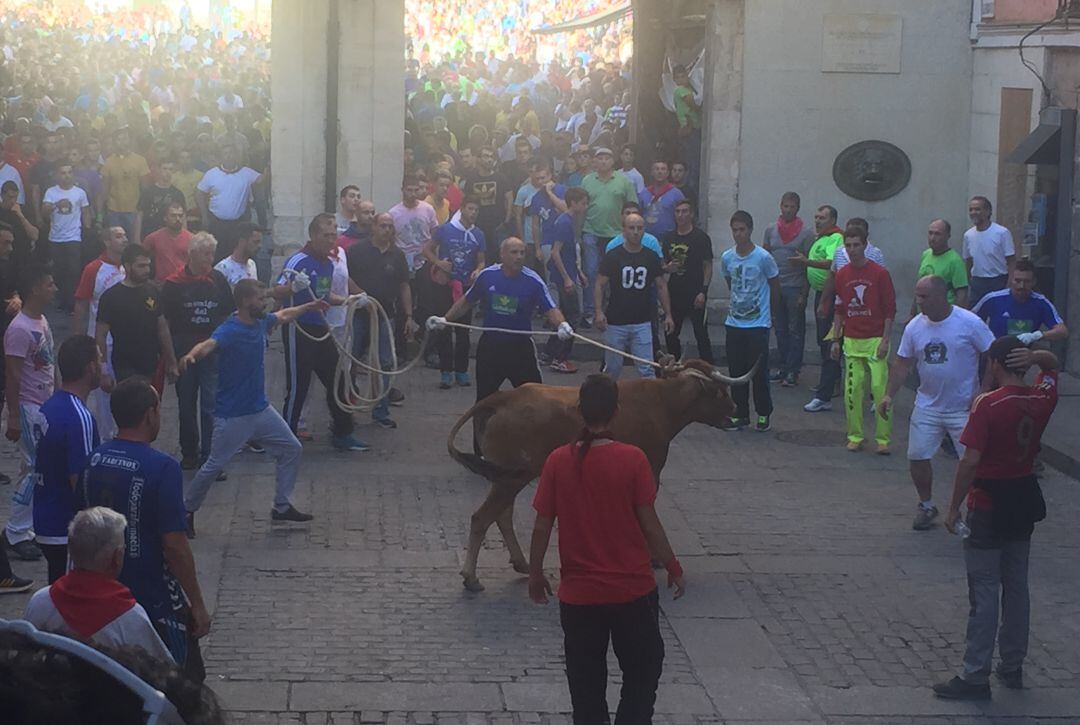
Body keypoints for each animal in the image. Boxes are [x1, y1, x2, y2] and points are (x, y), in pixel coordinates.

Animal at [444, 360, 751, 592]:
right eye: (720, 392)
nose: (735, 409)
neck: (662, 403)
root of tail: (504, 397)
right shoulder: (650, 469)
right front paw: (653, 558)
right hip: (511, 478)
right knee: (482, 517)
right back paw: (471, 577)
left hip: (509, 477)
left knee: (502, 515)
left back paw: (521, 563)